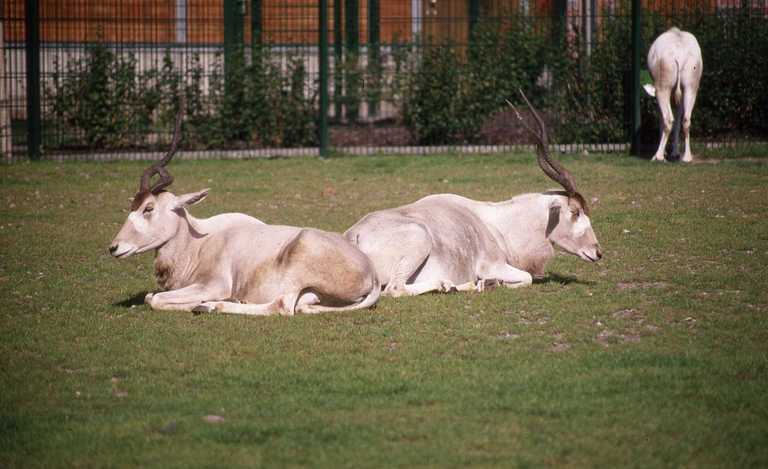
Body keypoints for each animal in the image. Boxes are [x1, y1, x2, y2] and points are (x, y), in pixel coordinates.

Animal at [109, 112, 380, 314]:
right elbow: (150, 296)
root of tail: (371, 272)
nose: (113, 247)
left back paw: (211, 306)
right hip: (312, 296)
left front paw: (203, 303)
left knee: (281, 306)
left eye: (149, 208)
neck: (198, 243)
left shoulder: (213, 284)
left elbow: (154, 299)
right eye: (132, 205)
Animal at [344, 90, 604, 296]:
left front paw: (487, 284)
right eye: (575, 212)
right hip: (419, 240)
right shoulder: (492, 266)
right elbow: (527, 278)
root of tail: (354, 235)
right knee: (395, 289)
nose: (598, 252)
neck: (500, 225)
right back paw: (454, 285)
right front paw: (492, 283)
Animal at [640, 27, 704, 163]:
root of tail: (680, 54)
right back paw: (686, 157)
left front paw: (665, 154)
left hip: (663, 88)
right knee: (686, 119)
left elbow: (662, 119)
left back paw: (658, 156)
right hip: (690, 86)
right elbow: (678, 119)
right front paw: (675, 153)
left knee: (668, 119)